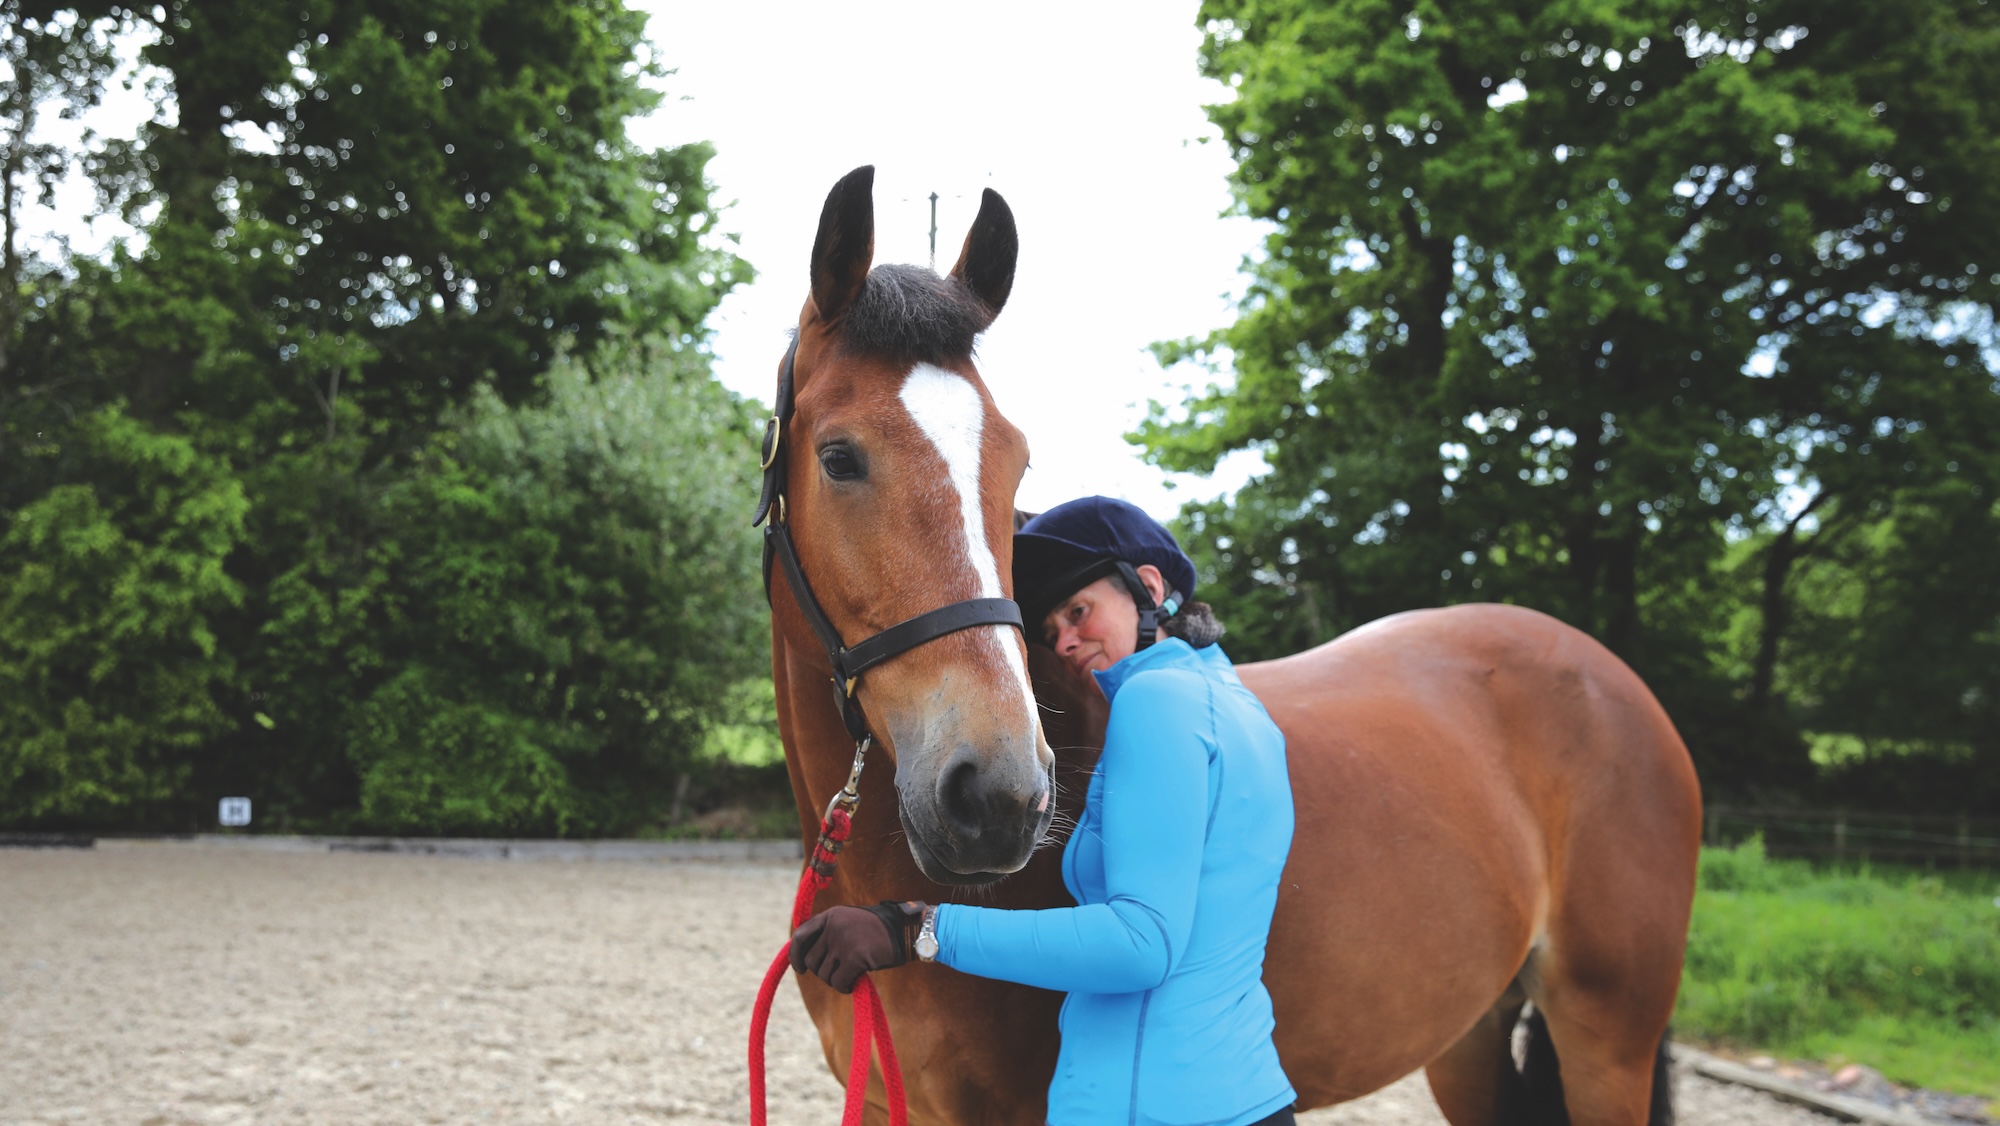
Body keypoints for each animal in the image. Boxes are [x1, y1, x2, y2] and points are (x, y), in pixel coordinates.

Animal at [758, 165, 1702, 1126]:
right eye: (839, 457)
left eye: (1016, 464)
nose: (1000, 795)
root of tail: (1615, 680)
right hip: (1470, 1035)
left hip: (1605, 1042)